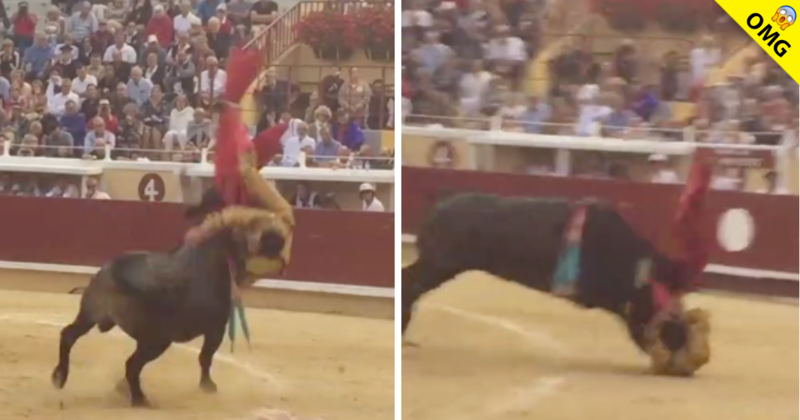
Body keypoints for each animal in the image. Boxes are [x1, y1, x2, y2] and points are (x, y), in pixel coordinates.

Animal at [52, 218, 284, 406]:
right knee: (132, 364)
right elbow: (206, 356)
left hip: (89, 315)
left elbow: (205, 357)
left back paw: (60, 377)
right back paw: (140, 399)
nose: (279, 240)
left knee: (69, 335)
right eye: (251, 234)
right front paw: (208, 385)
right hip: (157, 340)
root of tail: (115, 274)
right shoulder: (216, 328)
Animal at [404, 194, 672, 352]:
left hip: (442, 265)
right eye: (654, 306)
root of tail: (438, 209)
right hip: (440, 264)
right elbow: (623, 309)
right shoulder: (599, 292)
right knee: (411, 282)